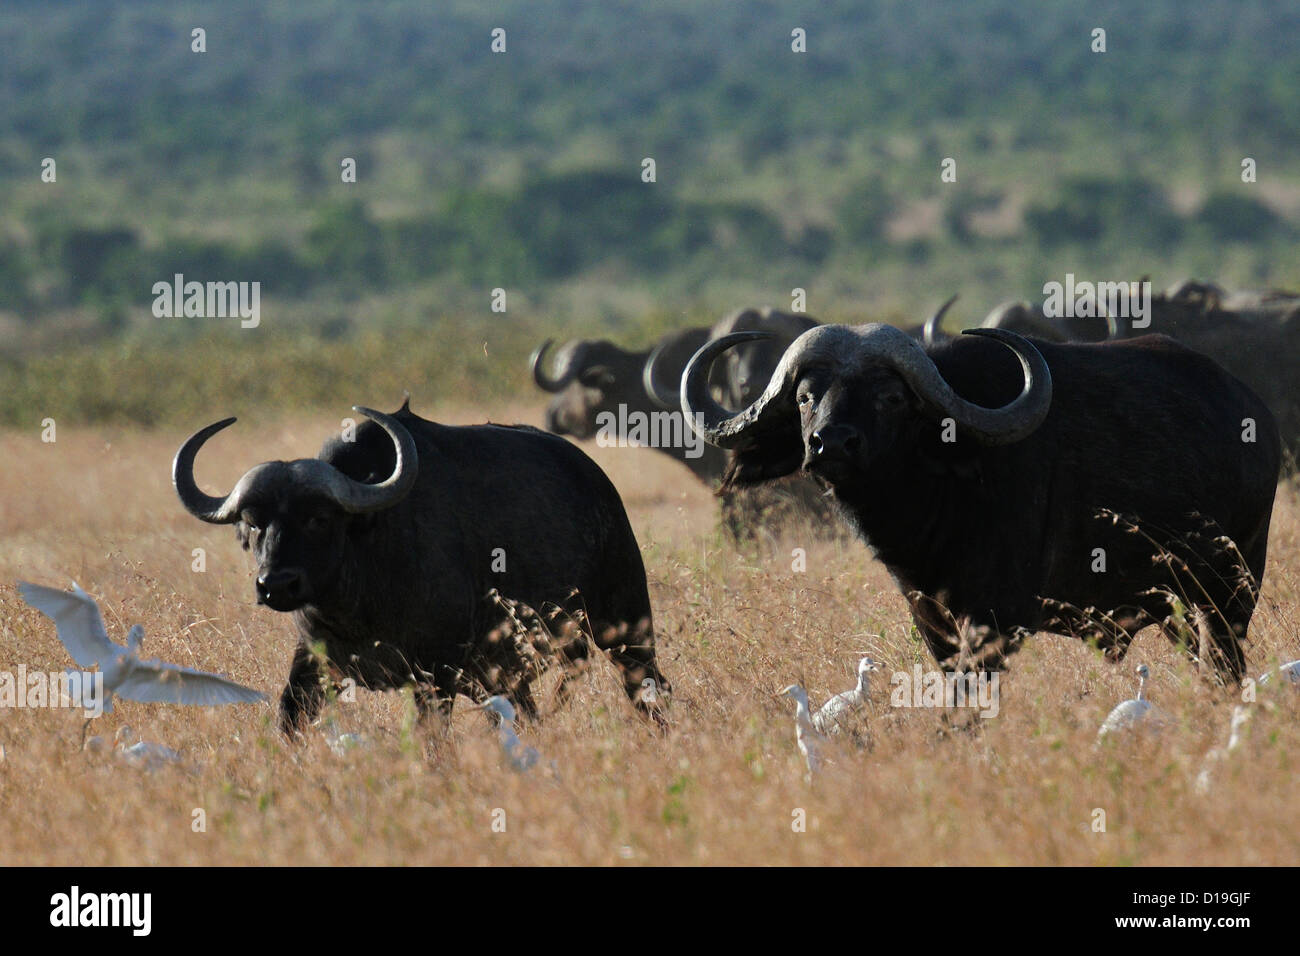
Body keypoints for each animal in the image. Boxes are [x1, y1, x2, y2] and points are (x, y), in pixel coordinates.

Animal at [175, 403, 670, 733]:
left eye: (319, 518)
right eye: (254, 523)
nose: (276, 584)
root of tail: (596, 479)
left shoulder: (437, 672)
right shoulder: (312, 662)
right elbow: (289, 717)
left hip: (624, 627)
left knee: (649, 688)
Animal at [681, 325, 1279, 686]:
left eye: (891, 397)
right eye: (806, 396)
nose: (830, 443)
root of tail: (1253, 413)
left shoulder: (995, 622)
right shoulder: (932, 619)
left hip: (1231, 589)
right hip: (1178, 605)